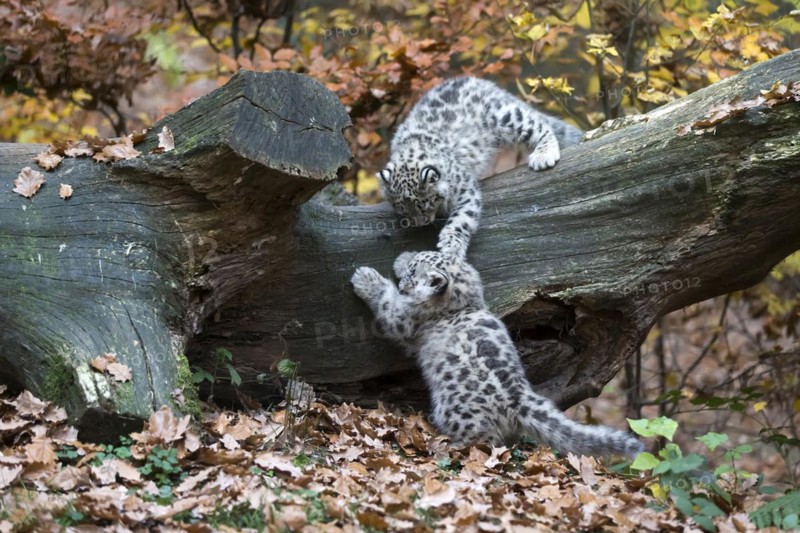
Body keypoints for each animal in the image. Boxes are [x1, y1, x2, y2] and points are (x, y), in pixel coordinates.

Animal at [350, 251, 643, 458]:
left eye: (414, 273)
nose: (403, 278)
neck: (464, 302)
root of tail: (520, 399)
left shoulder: (404, 317)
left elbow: (388, 303)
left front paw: (366, 278)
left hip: (457, 412)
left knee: (481, 441)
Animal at [378, 77, 582, 258]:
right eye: (402, 208)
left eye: (425, 206)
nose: (421, 223)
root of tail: (486, 84)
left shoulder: (464, 188)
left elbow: (461, 218)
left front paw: (451, 248)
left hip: (506, 116)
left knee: (539, 124)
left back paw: (543, 155)